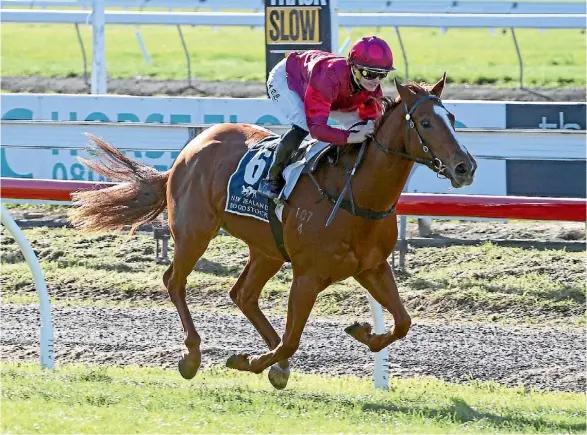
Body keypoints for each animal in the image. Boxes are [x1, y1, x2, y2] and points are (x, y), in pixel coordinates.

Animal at [71, 76, 478, 392]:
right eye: (425, 123)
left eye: (452, 118)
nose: (465, 166)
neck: (355, 193)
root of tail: (187, 152)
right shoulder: (308, 276)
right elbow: (291, 341)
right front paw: (248, 361)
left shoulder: (372, 267)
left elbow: (403, 322)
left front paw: (364, 333)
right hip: (194, 231)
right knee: (175, 281)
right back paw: (192, 355)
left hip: (266, 248)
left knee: (243, 294)